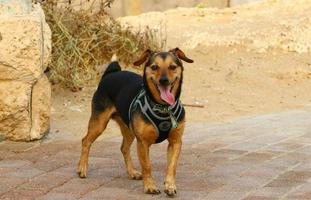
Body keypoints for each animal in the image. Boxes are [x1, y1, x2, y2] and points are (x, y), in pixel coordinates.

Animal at [77, 47, 194, 196]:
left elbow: (171, 166)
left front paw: (170, 186)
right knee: (86, 141)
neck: (163, 108)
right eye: (154, 67)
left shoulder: (176, 142)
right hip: (99, 123)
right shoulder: (143, 143)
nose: (164, 80)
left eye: (172, 67)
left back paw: (132, 172)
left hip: (129, 129)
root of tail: (111, 73)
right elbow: (147, 166)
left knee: (124, 148)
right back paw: (82, 168)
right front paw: (150, 186)